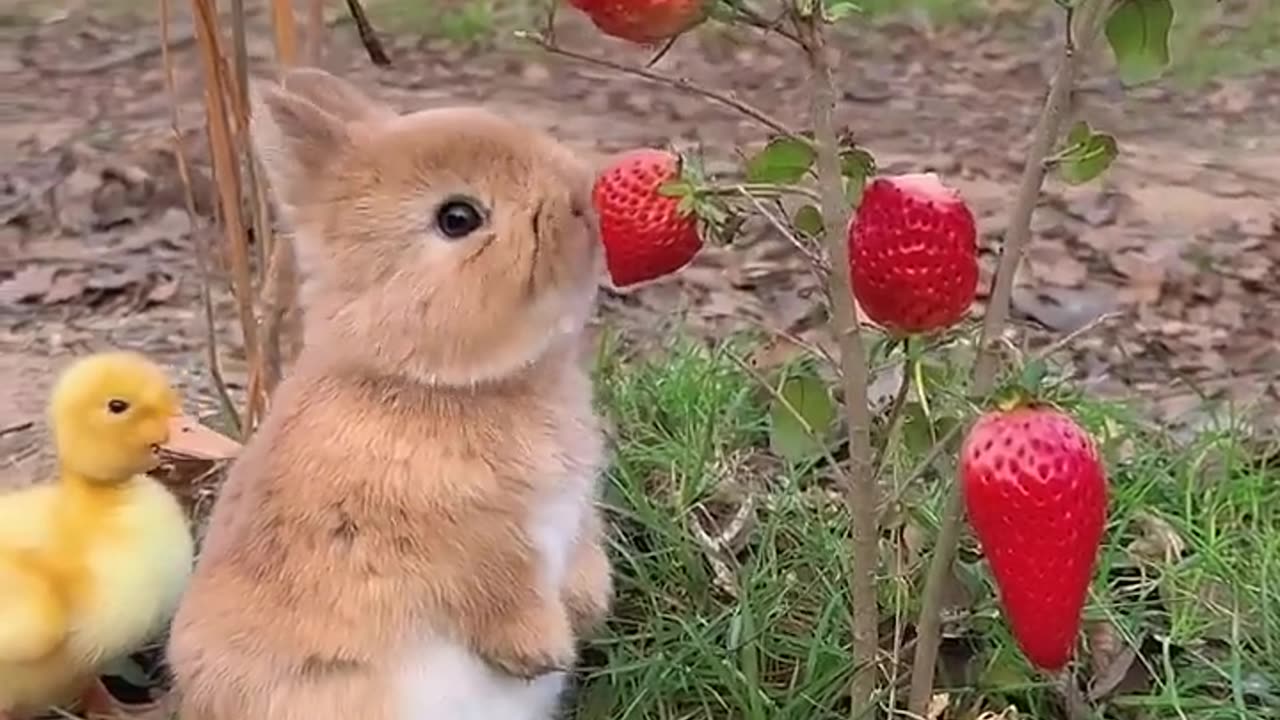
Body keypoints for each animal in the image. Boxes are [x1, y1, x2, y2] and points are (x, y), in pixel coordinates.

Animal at [163, 67, 614, 717]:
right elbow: (498, 589)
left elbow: (582, 550)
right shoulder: (456, 542)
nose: (584, 201)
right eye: (457, 218)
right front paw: (544, 650)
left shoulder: (575, 508)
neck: (428, 379)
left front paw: (588, 609)